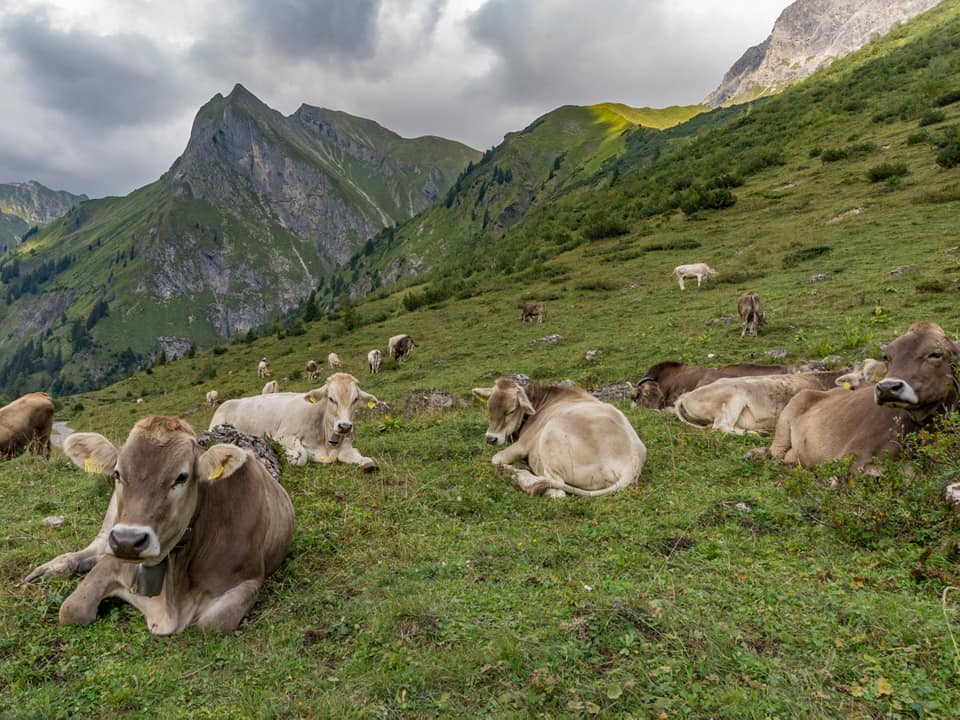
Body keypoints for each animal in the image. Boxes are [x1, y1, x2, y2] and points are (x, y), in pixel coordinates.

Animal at [24, 416, 294, 636]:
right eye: (117, 473)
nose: (128, 541)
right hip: (111, 523)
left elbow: (213, 624)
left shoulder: (249, 580)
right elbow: (72, 609)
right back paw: (54, 568)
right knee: (96, 547)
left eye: (181, 477)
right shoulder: (115, 559)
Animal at [210, 372, 378, 472]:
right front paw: (288, 454)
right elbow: (301, 456)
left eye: (355, 399)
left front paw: (367, 462)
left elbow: (360, 457)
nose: (344, 426)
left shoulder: (346, 443)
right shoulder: (283, 436)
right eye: (331, 398)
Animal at [470, 380, 644, 498]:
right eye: (489, 408)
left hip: (550, 435)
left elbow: (495, 459)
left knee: (557, 488)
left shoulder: (523, 444)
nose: (491, 438)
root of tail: (629, 465)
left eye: (511, 411)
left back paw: (522, 475)